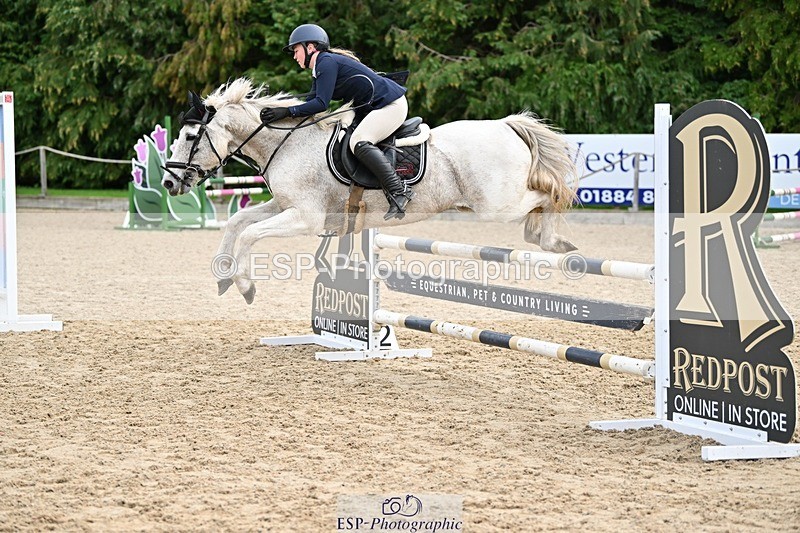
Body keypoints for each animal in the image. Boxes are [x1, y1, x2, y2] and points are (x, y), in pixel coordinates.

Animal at [162, 78, 579, 304]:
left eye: (190, 136)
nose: (169, 182)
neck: (288, 143)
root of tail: (506, 125)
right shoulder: (284, 206)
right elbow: (237, 222)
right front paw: (222, 277)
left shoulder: (305, 218)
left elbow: (249, 233)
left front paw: (245, 286)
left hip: (497, 204)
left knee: (547, 195)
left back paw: (553, 241)